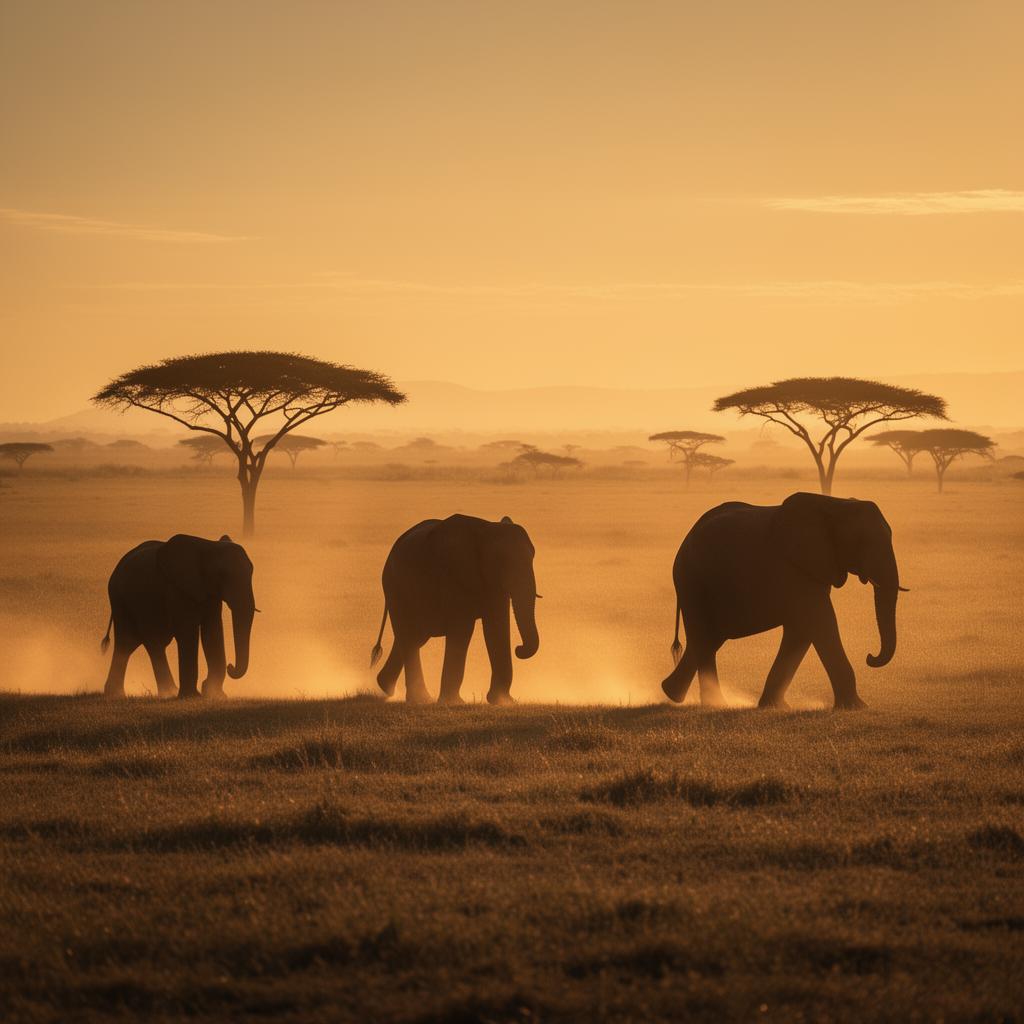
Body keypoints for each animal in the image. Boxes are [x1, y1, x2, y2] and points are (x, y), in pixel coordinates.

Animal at [101, 534, 256, 699]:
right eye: (222, 575)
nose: (230, 666)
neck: (208, 546)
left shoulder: (209, 593)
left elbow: (212, 631)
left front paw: (215, 694)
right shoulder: (177, 588)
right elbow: (188, 631)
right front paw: (193, 697)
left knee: (128, 644)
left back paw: (118, 693)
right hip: (121, 599)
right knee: (149, 642)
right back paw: (168, 692)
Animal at [370, 514, 540, 705]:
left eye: (533, 557)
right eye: (501, 561)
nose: (519, 649)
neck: (485, 529)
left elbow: (496, 627)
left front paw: (504, 702)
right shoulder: (453, 575)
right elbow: (463, 629)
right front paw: (454, 702)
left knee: (414, 637)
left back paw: (387, 687)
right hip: (395, 588)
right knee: (409, 638)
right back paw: (421, 699)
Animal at [660, 492, 904, 710]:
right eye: (862, 542)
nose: (870, 657)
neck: (836, 504)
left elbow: (801, 630)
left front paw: (775, 706)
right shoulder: (793, 567)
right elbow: (820, 621)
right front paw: (857, 707)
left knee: (709, 639)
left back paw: (673, 693)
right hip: (691, 580)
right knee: (704, 637)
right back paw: (714, 703)